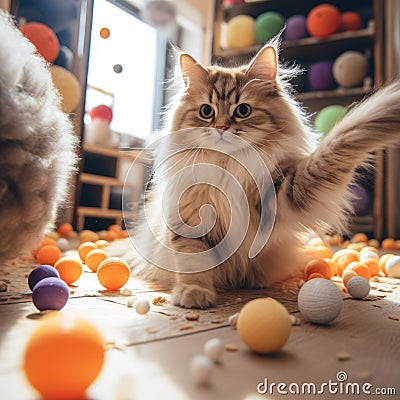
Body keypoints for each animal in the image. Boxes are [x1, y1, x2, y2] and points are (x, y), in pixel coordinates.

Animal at [116, 42, 400, 308]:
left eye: (243, 111)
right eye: (206, 111)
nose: (221, 128)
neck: (229, 165)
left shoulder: (287, 191)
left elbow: (341, 141)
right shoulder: (189, 218)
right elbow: (194, 262)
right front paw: (194, 294)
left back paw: (256, 280)